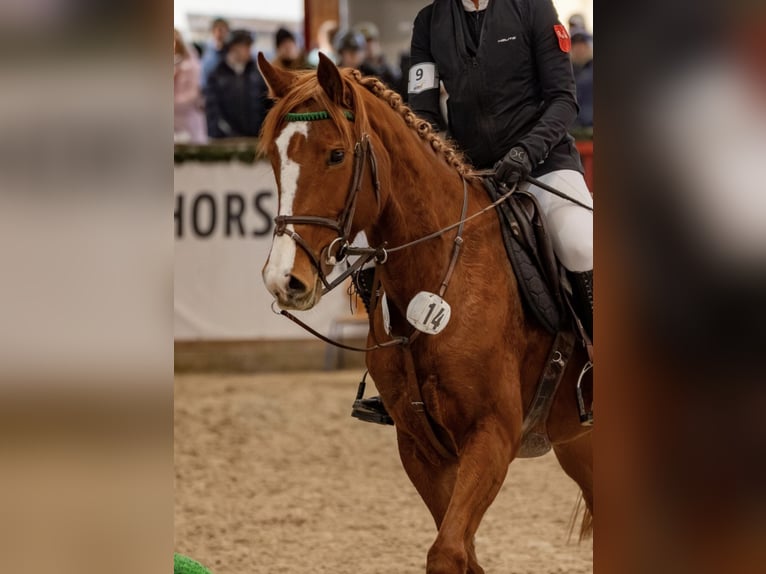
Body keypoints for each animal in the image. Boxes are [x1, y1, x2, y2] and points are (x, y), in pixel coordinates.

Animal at [257, 52, 593, 574]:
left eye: (336, 155)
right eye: (275, 159)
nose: (284, 281)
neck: (440, 271)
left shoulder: (492, 436)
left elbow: (448, 552)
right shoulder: (421, 447)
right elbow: (461, 551)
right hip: (578, 445)